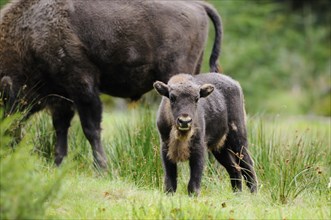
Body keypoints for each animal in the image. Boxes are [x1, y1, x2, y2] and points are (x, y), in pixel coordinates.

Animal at [0, 0, 223, 168]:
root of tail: (198, 5)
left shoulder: (83, 87)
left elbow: (90, 129)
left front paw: (102, 169)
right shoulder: (62, 96)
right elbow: (61, 128)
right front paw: (59, 164)